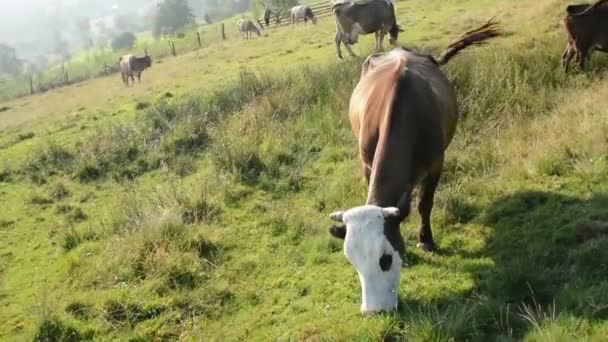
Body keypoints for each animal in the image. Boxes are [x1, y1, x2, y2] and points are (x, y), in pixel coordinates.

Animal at [326, 20, 502, 316]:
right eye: (352, 261)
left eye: (385, 259)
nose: (373, 312)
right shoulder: (367, 164)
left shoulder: (436, 164)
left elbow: (424, 204)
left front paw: (426, 240)